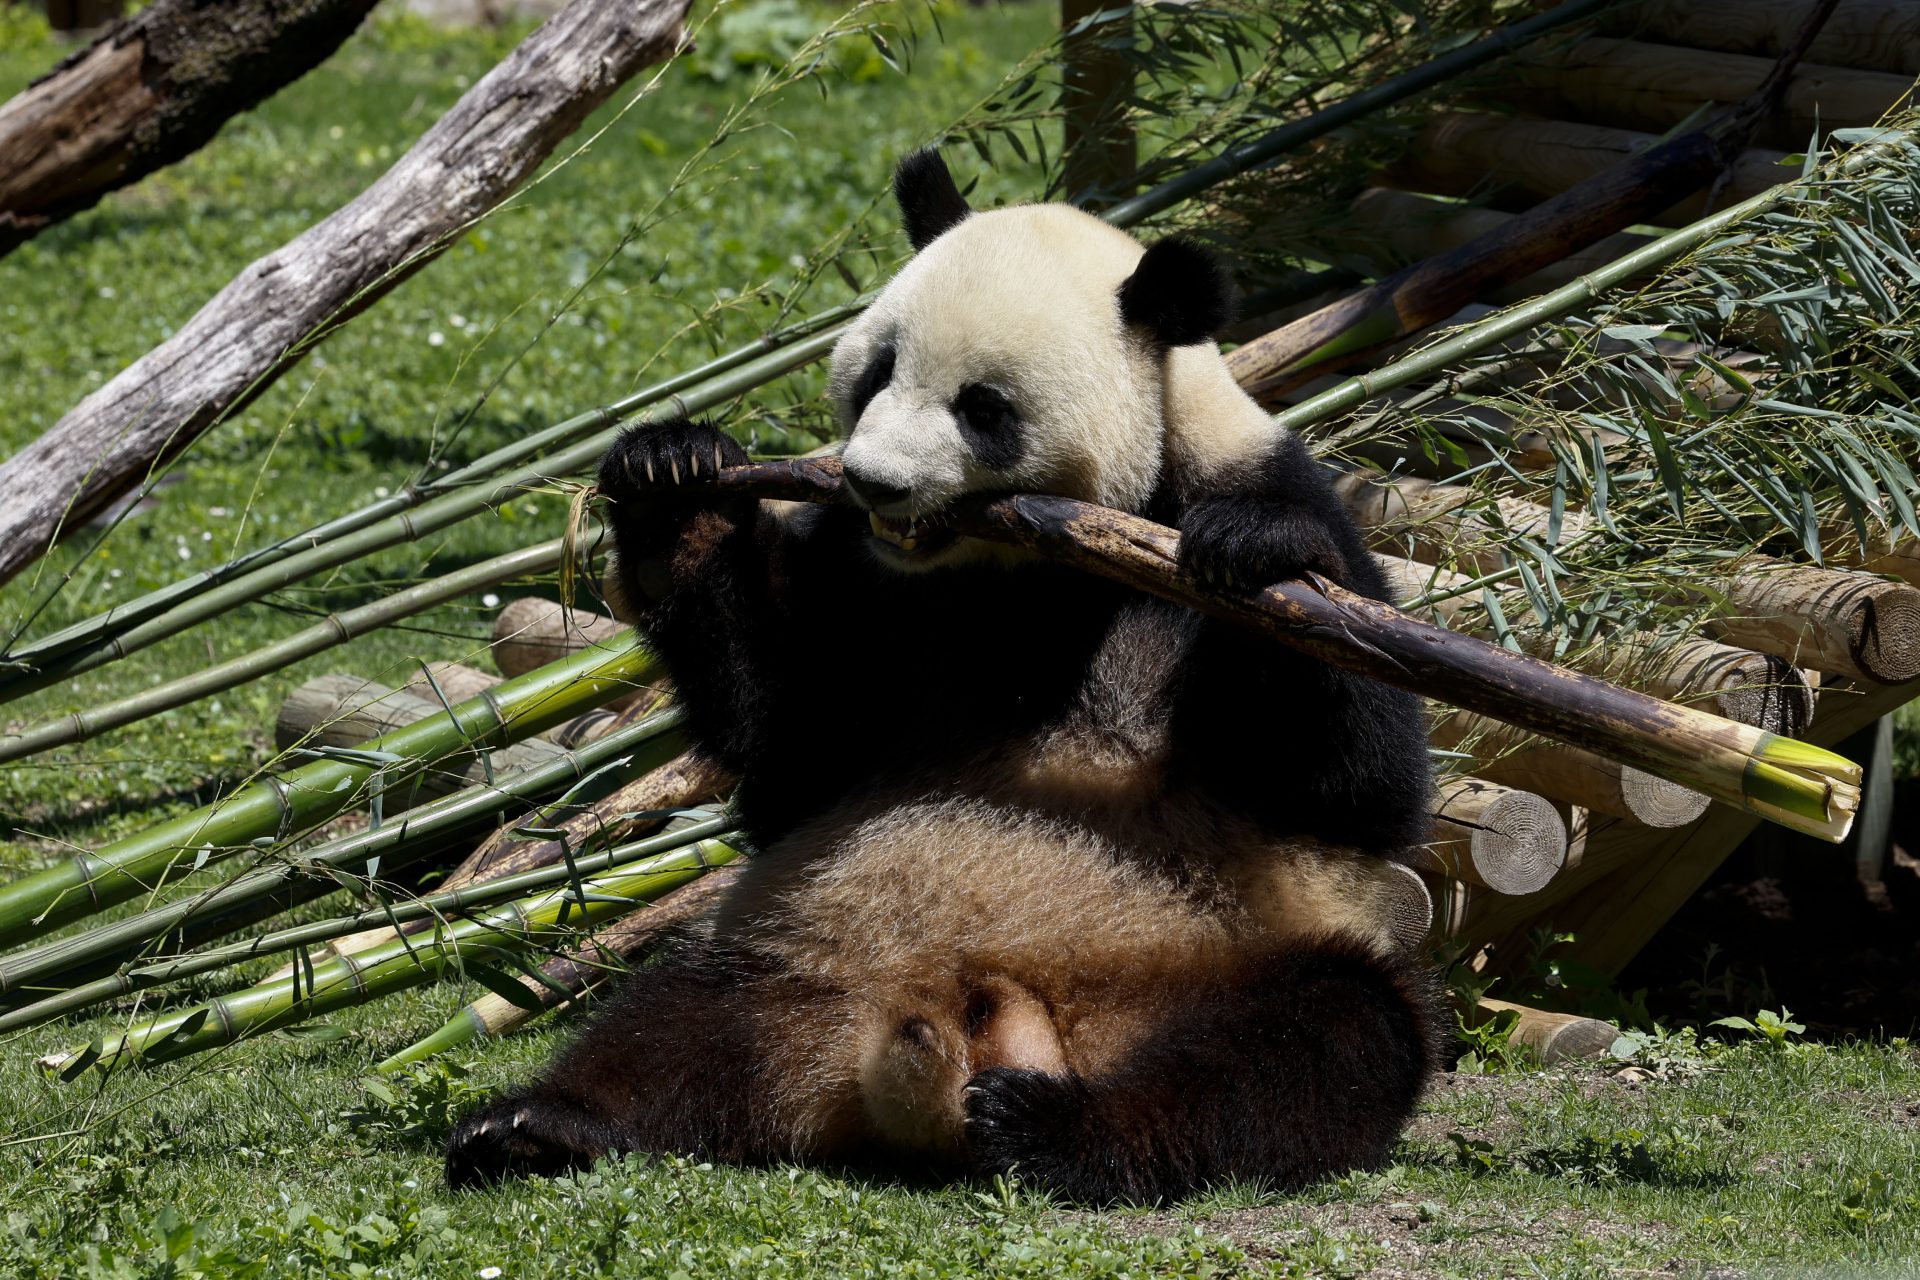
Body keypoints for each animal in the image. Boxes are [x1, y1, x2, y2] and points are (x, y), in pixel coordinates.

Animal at [444, 150, 1440, 1203]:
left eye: (982, 407)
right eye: (878, 369)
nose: (873, 482)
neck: (1024, 571)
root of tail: (945, 1043)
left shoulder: (1251, 500)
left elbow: (1358, 785)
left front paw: (1254, 554)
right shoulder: (863, 579)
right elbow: (793, 745)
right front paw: (673, 474)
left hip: (1221, 963)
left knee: (1309, 1045)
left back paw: (1057, 1127)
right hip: (801, 942)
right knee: (674, 1020)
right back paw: (539, 1125)